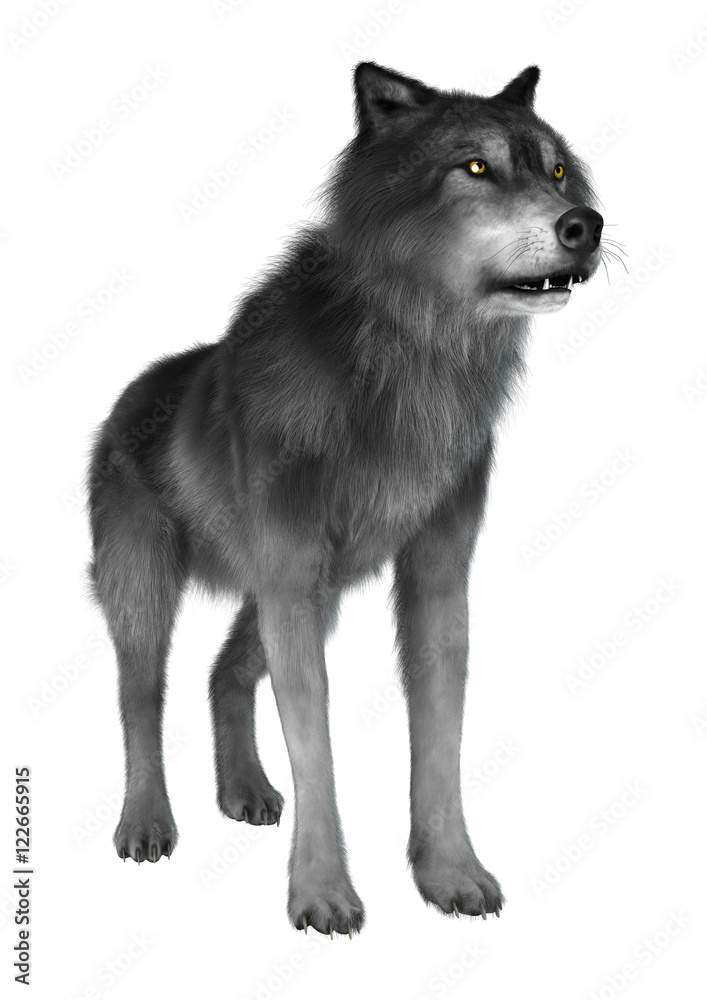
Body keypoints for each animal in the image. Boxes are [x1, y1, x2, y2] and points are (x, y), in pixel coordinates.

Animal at [86, 61, 603, 937]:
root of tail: (132, 393)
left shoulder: (430, 577)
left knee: (222, 673)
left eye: (558, 171)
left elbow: (439, 742)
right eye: (476, 167)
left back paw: (245, 792)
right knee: (138, 700)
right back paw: (147, 823)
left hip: (301, 594)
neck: (409, 365)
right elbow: (317, 752)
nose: (587, 225)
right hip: (151, 595)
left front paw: (449, 874)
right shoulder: (293, 578)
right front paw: (322, 893)